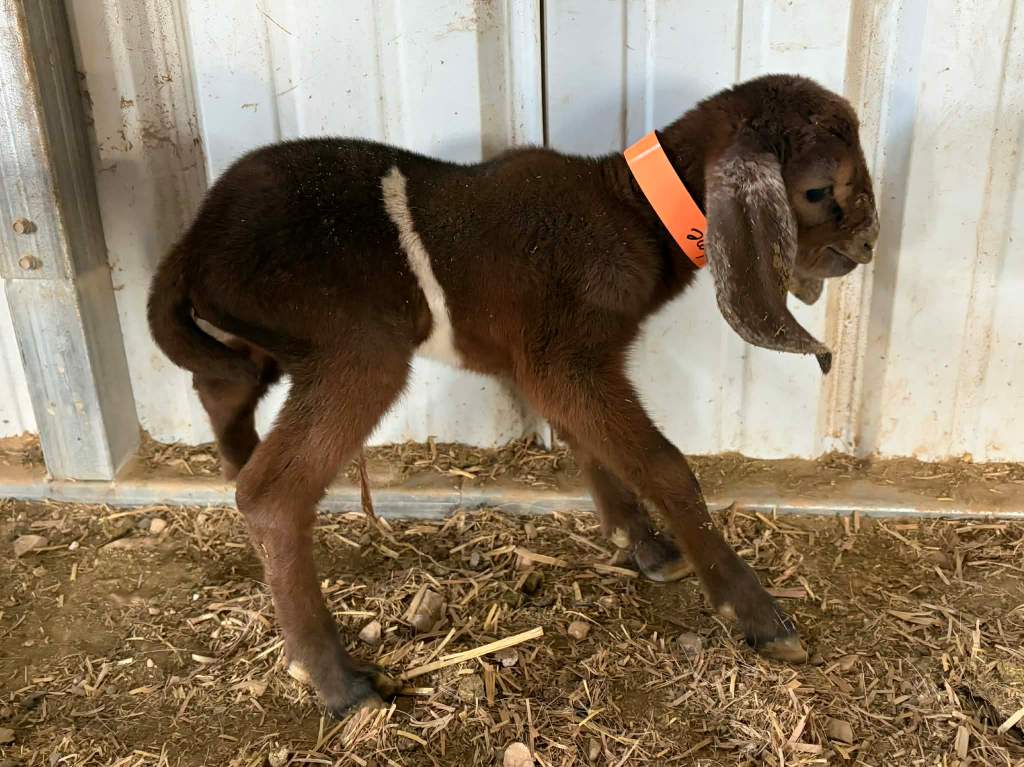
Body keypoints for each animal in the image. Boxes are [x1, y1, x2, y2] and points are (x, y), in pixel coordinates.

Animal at [148, 74, 879, 716]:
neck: (629, 209)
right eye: (820, 190)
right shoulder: (563, 357)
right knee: (271, 494)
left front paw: (644, 546)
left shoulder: (561, 364)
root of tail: (194, 242)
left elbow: (593, 447)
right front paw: (755, 613)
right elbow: (663, 465)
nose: (869, 243)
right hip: (357, 348)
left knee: (221, 390)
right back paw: (338, 682)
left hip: (257, 342)